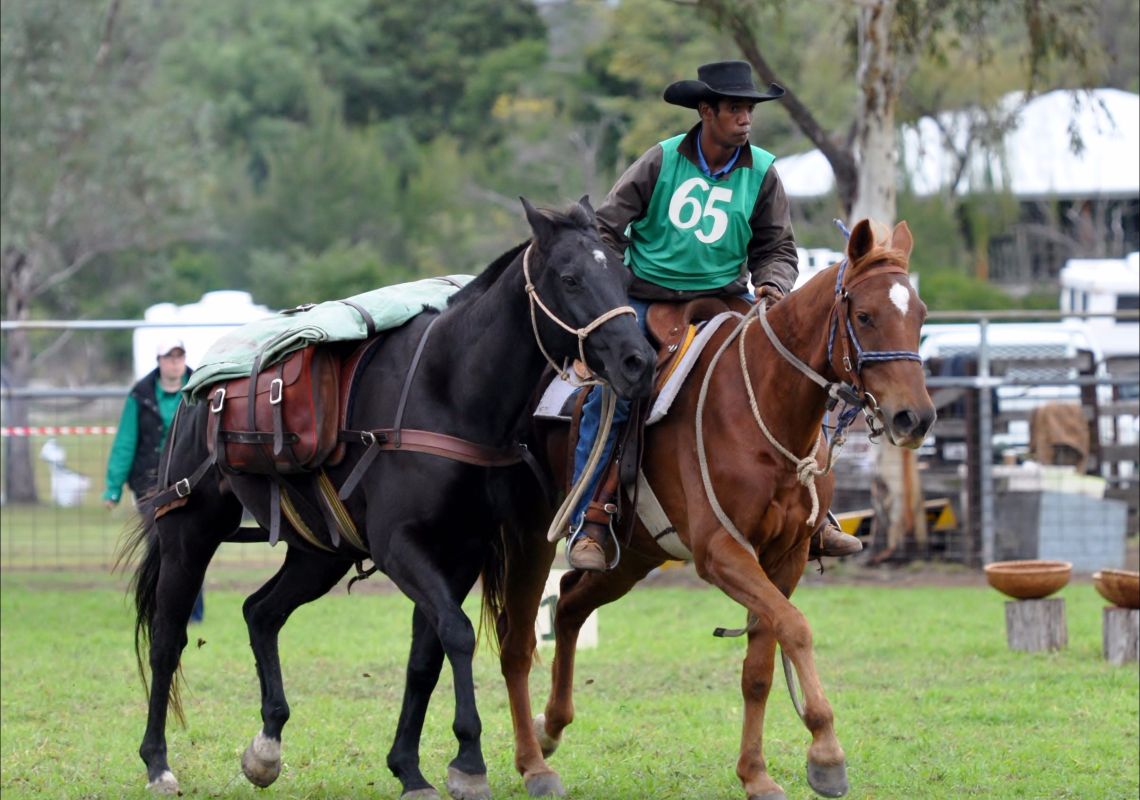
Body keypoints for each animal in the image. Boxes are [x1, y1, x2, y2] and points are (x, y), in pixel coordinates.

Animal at [120, 197, 656, 797]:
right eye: (569, 278)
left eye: (624, 278)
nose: (638, 361)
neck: (447, 391)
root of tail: (194, 393)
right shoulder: (401, 546)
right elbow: (458, 634)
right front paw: (468, 760)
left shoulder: (459, 552)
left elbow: (427, 655)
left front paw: (411, 768)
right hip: (190, 532)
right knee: (167, 639)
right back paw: (158, 762)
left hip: (320, 553)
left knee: (261, 612)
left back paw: (266, 747)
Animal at [481, 218, 934, 800]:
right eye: (865, 316)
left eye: (919, 316)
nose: (914, 418)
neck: (763, 405)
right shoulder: (722, 554)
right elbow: (797, 628)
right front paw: (826, 752)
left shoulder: (784, 557)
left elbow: (762, 661)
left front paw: (757, 773)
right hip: (527, 539)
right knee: (518, 638)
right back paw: (533, 762)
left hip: (634, 555)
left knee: (569, 605)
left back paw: (550, 727)